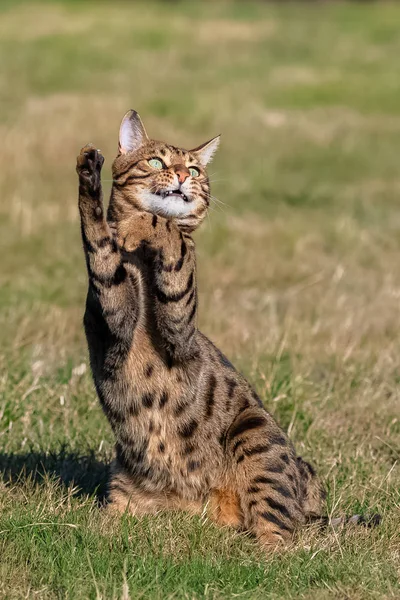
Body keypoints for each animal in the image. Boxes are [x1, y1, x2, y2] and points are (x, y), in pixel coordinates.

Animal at [76, 110, 378, 548]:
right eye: (157, 161)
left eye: (194, 169)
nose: (181, 175)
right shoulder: (111, 312)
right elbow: (101, 238)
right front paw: (91, 179)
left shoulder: (178, 324)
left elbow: (170, 233)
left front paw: (143, 225)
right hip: (123, 492)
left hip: (255, 436)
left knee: (282, 536)